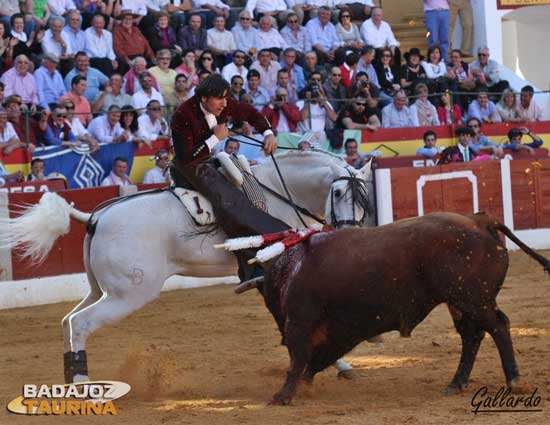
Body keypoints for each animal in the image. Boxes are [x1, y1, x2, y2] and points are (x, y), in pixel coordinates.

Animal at [4, 151, 374, 382]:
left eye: (364, 199)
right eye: (338, 193)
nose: (348, 232)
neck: (281, 193)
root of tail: (95, 217)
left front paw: (339, 365)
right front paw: (330, 362)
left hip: (101, 290)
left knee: (67, 321)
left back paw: (72, 380)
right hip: (129, 294)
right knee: (80, 323)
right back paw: (83, 386)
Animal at [246, 212, 550, 404]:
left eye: (271, 299)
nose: (280, 334)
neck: (293, 268)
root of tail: (479, 220)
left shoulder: (301, 322)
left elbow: (298, 358)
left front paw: (283, 395)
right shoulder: (338, 330)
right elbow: (313, 358)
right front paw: (302, 386)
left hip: (474, 300)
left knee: (498, 325)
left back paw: (514, 381)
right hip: (460, 302)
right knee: (472, 335)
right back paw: (456, 383)